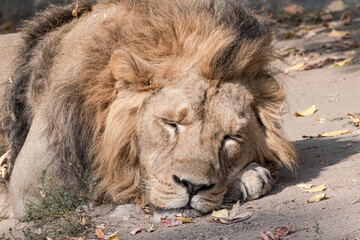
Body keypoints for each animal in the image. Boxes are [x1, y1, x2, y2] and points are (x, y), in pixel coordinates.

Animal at [0, 0, 296, 218]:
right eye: (170, 123)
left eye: (231, 138)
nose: (193, 186)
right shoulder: (35, 186)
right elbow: (119, 178)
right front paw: (250, 177)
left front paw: (250, 174)